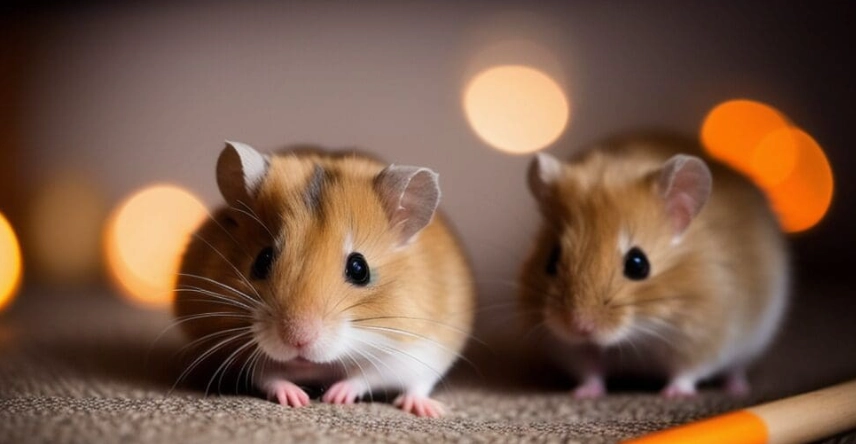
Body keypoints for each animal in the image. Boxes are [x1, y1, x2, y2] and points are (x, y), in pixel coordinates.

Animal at [174, 141, 475, 417]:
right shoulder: (240, 354)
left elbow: (364, 376)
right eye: (262, 260)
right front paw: (296, 399)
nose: (297, 340)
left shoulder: (408, 350)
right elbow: (268, 374)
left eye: (359, 268)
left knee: (417, 386)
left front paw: (334, 397)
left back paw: (427, 410)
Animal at [519, 132, 789, 398]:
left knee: (736, 369)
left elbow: (687, 372)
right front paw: (583, 393)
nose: (579, 327)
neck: (638, 335)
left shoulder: (705, 336)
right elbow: (590, 371)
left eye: (638, 264)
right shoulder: (572, 349)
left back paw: (737, 389)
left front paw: (672, 395)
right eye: (552, 260)